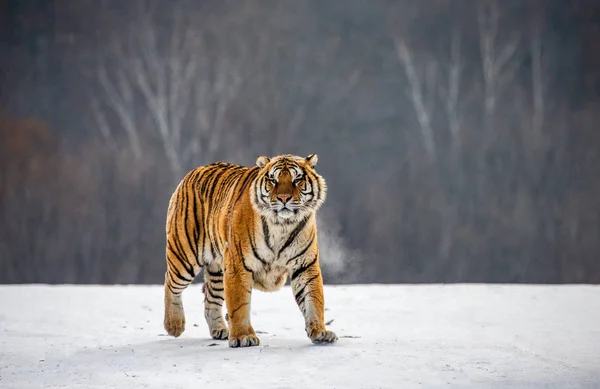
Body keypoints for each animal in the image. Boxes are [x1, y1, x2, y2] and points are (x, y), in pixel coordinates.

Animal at [163, 152, 338, 346]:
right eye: (273, 180)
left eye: (297, 179)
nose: (284, 199)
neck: (282, 225)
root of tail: (194, 171)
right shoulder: (238, 265)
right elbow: (239, 304)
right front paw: (243, 337)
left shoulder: (305, 265)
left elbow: (313, 298)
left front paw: (320, 332)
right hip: (185, 256)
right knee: (170, 283)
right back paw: (174, 325)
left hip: (217, 270)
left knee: (211, 298)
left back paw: (219, 330)